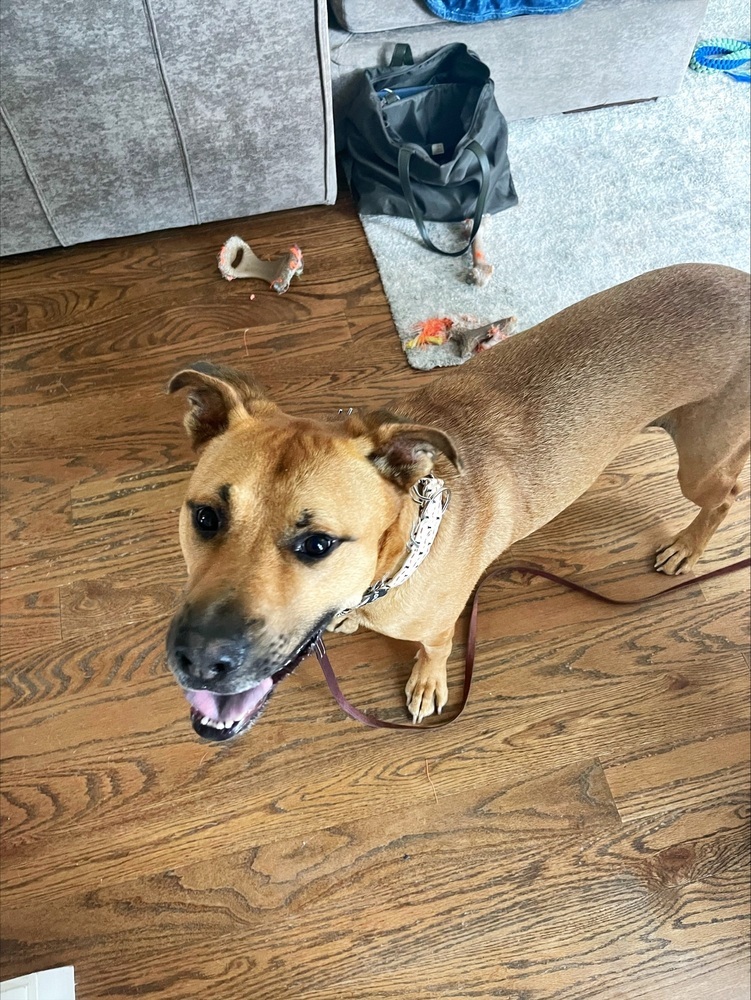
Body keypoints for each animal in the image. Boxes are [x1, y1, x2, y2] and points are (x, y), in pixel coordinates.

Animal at [167, 262, 748, 740]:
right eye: (205, 517)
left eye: (317, 545)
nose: (198, 661)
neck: (404, 548)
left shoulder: (439, 622)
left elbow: (437, 646)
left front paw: (427, 681)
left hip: (699, 463)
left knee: (726, 497)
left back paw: (687, 547)